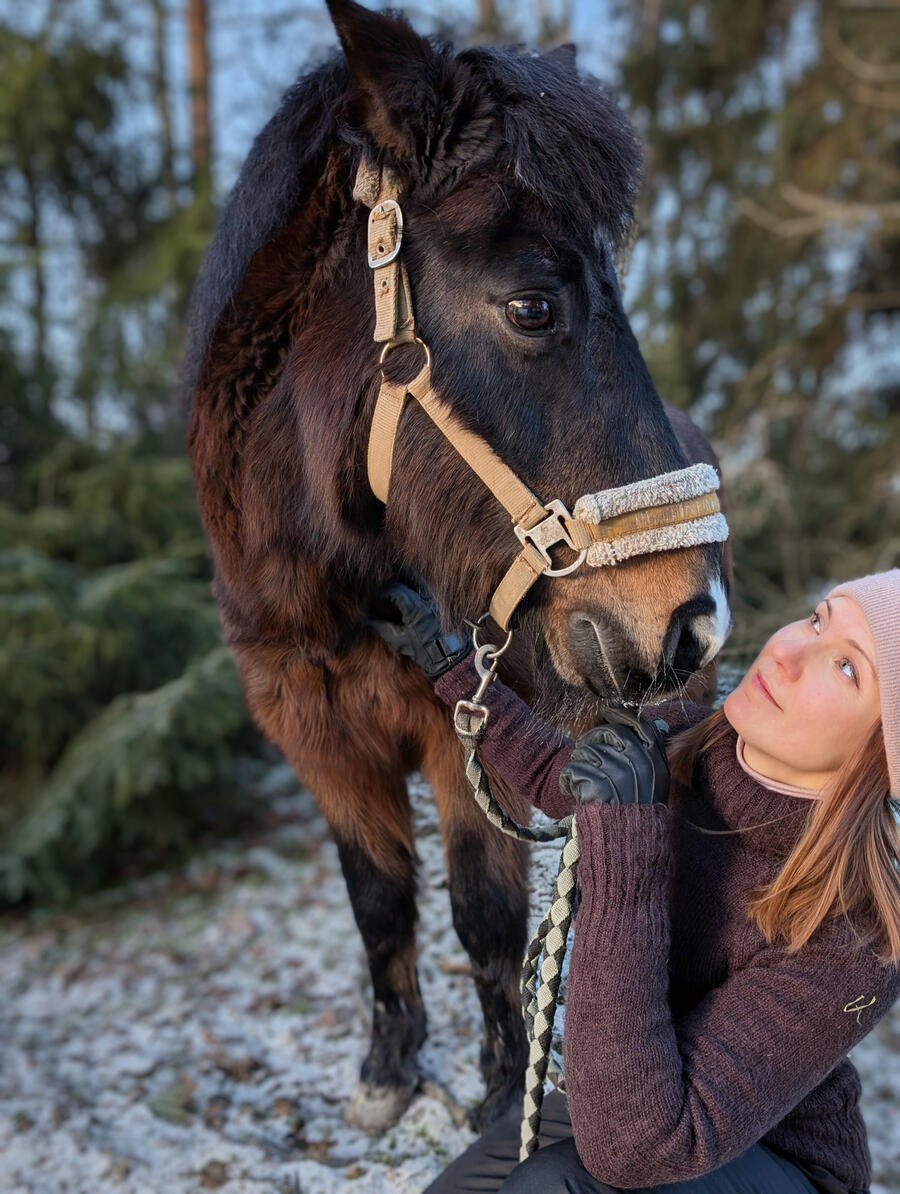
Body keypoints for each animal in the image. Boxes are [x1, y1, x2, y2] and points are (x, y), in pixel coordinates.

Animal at [185, 0, 733, 1135]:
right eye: (531, 306)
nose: (686, 619)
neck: (340, 594)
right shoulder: (315, 737)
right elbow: (380, 902)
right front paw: (390, 1065)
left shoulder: (462, 729)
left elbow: (483, 913)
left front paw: (500, 1077)